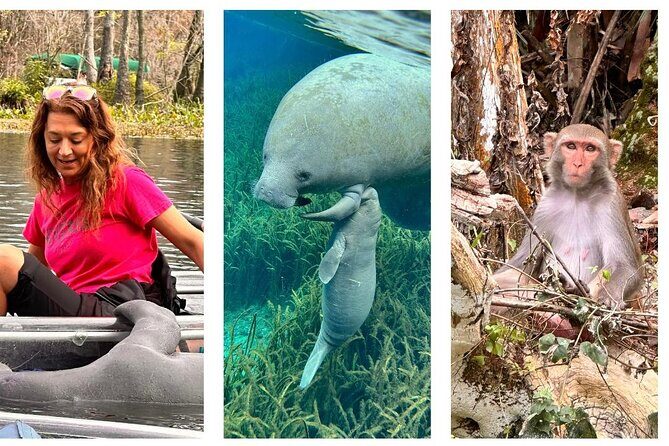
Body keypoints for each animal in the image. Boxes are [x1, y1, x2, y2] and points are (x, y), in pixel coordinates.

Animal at [493, 124, 643, 334]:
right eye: (571, 146)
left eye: (590, 149)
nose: (577, 164)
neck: (577, 195)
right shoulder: (545, 207)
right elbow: (522, 267)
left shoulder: (611, 204)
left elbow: (625, 266)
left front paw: (608, 299)